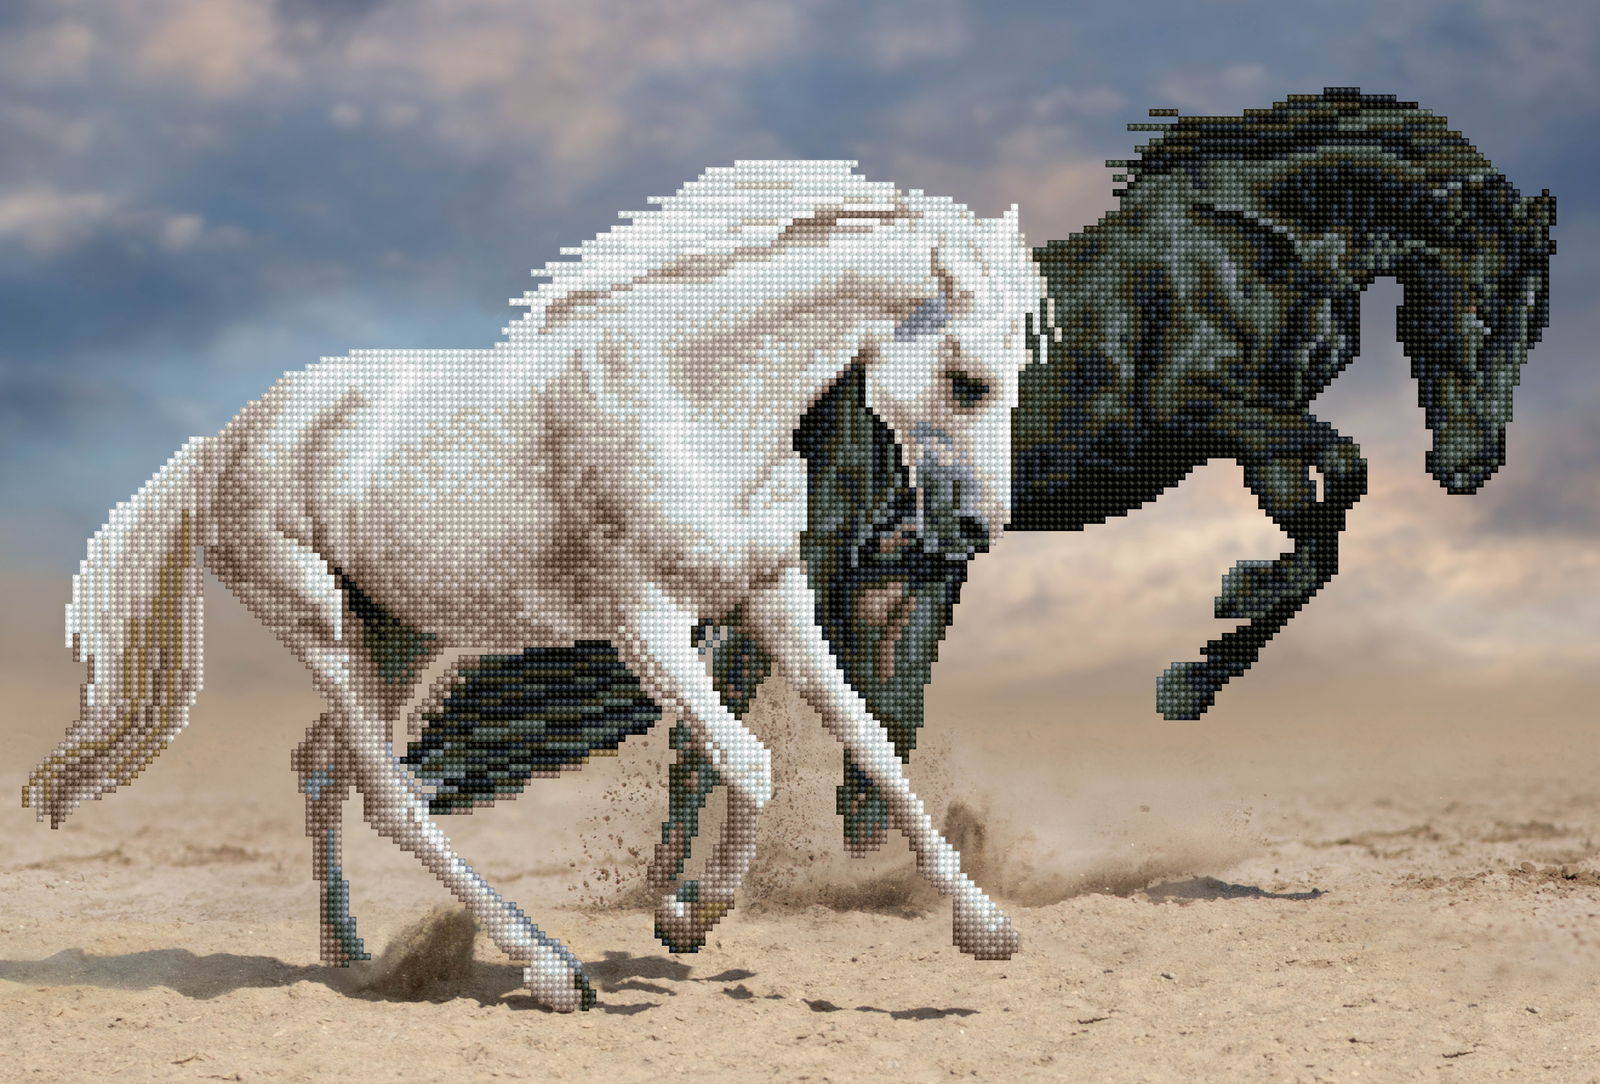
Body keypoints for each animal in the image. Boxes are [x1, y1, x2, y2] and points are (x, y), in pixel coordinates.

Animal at [22, 160, 1045, 1012]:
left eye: (1018, 373)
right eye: (966, 380)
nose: (973, 529)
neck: (692, 402)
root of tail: (225, 443)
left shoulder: (772, 593)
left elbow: (871, 742)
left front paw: (987, 930)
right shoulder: (645, 623)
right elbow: (746, 762)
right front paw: (685, 918)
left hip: (397, 636)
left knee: (322, 770)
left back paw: (352, 956)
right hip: (320, 627)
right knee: (391, 797)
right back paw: (551, 971)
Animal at [411, 90, 1554, 872]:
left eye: (1535, 316)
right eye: (1484, 298)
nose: (1468, 466)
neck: (1257, 235)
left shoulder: (1254, 440)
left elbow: (1323, 532)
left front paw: (1207, 648)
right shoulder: (1199, 407)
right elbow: (1346, 476)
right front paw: (1199, 659)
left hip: (898, 571)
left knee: (868, 724)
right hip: (816, 561)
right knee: (724, 705)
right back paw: (674, 894)